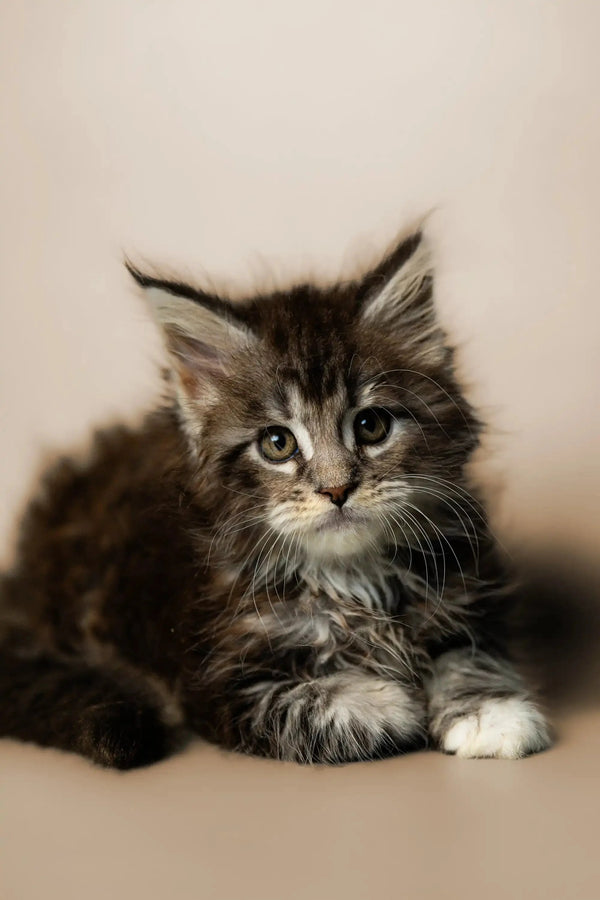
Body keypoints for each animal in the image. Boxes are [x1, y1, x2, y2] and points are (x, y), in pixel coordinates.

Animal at [0, 230, 552, 768]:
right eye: (277, 443)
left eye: (371, 425)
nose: (336, 489)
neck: (351, 579)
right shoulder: (216, 680)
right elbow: (315, 704)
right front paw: (393, 701)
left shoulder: (464, 591)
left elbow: (467, 656)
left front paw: (488, 714)